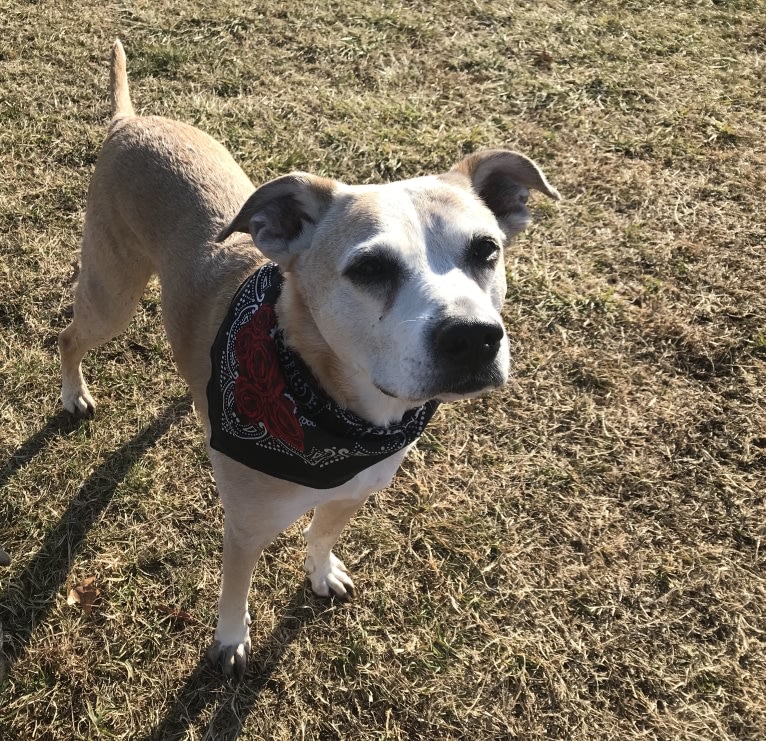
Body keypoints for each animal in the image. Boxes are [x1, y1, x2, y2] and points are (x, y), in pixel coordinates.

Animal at [58, 39, 560, 676]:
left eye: (487, 250)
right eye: (369, 268)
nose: (473, 337)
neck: (335, 412)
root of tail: (130, 121)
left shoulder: (355, 490)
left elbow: (322, 535)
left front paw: (321, 573)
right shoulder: (246, 528)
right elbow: (235, 591)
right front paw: (230, 642)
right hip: (112, 295)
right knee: (69, 336)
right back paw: (74, 393)